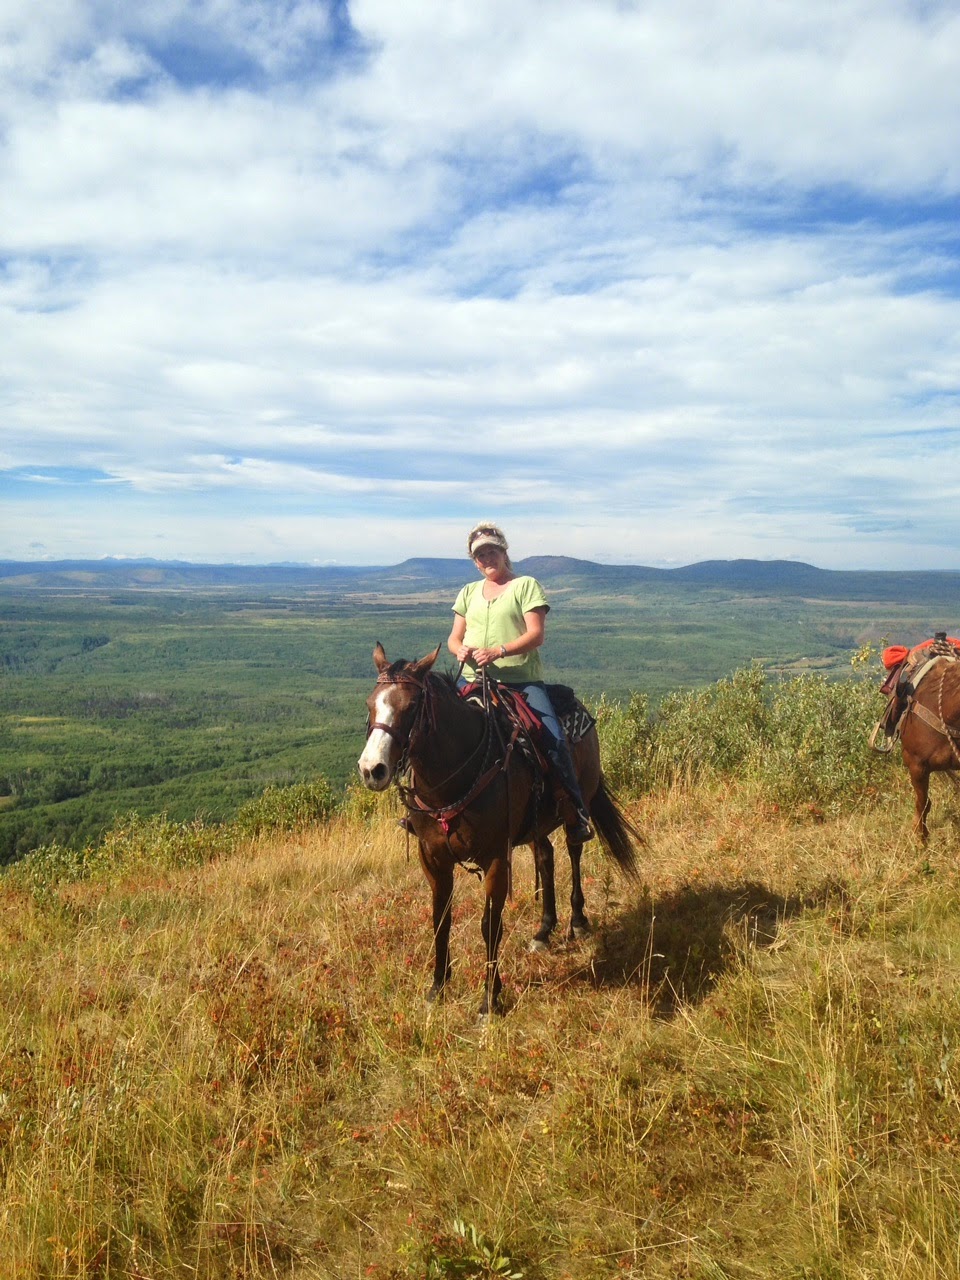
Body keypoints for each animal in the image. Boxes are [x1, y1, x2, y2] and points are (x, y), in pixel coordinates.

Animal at [357, 643, 642, 1017]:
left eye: (412, 706)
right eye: (370, 703)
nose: (371, 769)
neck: (452, 781)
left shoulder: (495, 858)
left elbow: (489, 926)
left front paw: (489, 1001)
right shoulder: (433, 859)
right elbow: (440, 919)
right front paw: (437, 988)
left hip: (577, 802)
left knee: (574, 849)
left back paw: (578, 920)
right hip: (536, 823)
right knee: (546, 857)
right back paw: (543, 930)